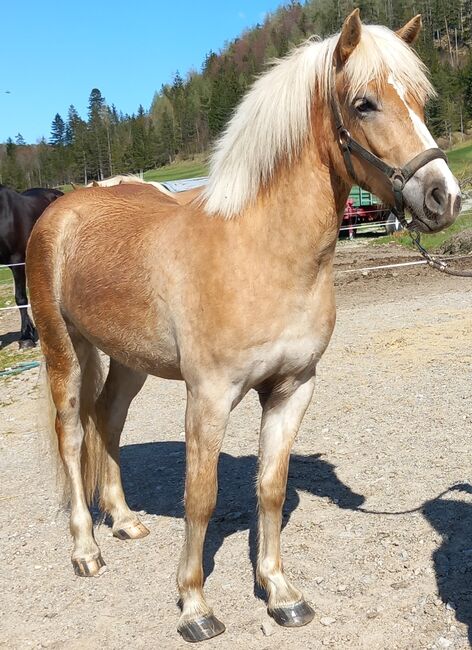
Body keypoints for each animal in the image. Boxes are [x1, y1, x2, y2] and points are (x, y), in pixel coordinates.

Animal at [25, 12, 460, 640]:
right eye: (364, 103)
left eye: (423, 101)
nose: (443, 198)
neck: (260, 253)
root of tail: (60, 210)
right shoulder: (208, 397)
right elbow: (201, 497)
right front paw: (194, 606)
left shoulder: (291, 389)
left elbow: (270, 490)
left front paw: (280, 593)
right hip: (64, 349)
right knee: (71, 433)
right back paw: (86, 549)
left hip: (129, 361)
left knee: (106, 419)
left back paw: (125, 520)